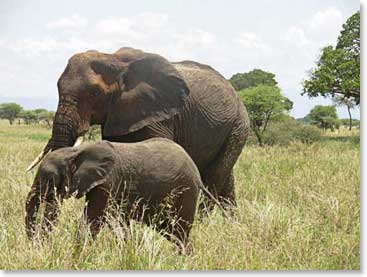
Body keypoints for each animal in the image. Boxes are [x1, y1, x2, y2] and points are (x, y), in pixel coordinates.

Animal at [25, 138, 204, 250]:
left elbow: (93, 220)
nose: (38, 247)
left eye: (49, 179)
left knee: (180, 231)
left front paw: (78, 256)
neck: (76, 151)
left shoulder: (107, 182)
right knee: (171, 232)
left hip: (186, 192)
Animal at [28, 46, 250, 208]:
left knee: (215, 176)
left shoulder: (159, 116)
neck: (113, 59)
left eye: (94, 93)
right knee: (225, 179)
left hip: (239, 126)